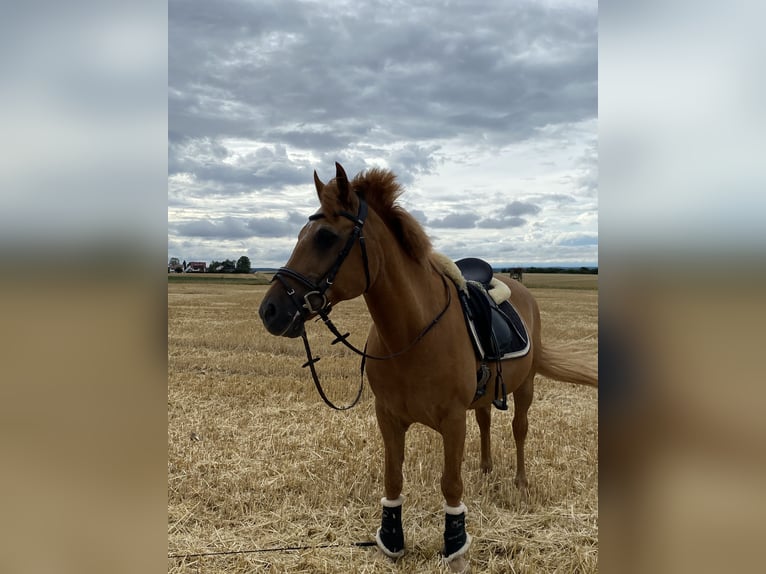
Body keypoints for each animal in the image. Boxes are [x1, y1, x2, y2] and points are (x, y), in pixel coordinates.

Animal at [258, 162, 597, 572]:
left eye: (325, 236)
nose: (270, 310)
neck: (412, 333)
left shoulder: (452, 420)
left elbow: (450, 484)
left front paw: (455, 548)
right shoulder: (388, 416)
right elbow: (393, 478)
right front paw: (391, 541)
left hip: (526, 386)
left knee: (520, 429)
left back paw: (519, 482)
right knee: (486, 421)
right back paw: (485, 469)